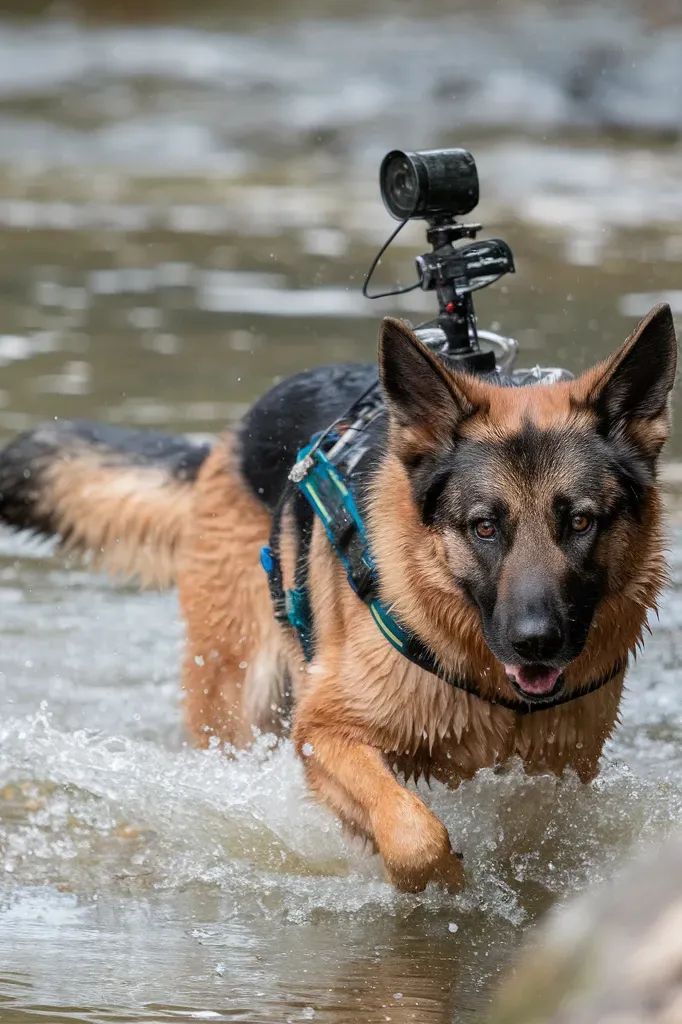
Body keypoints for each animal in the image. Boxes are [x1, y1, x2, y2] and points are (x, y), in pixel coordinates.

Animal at [0, 301, 671, 888]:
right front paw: (446, 881)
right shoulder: (324, 732)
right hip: (240, 701)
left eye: (580, 522)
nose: (537, 644)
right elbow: (413, 833)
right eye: (484, 527)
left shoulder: (557, 776)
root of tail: (238, 431)